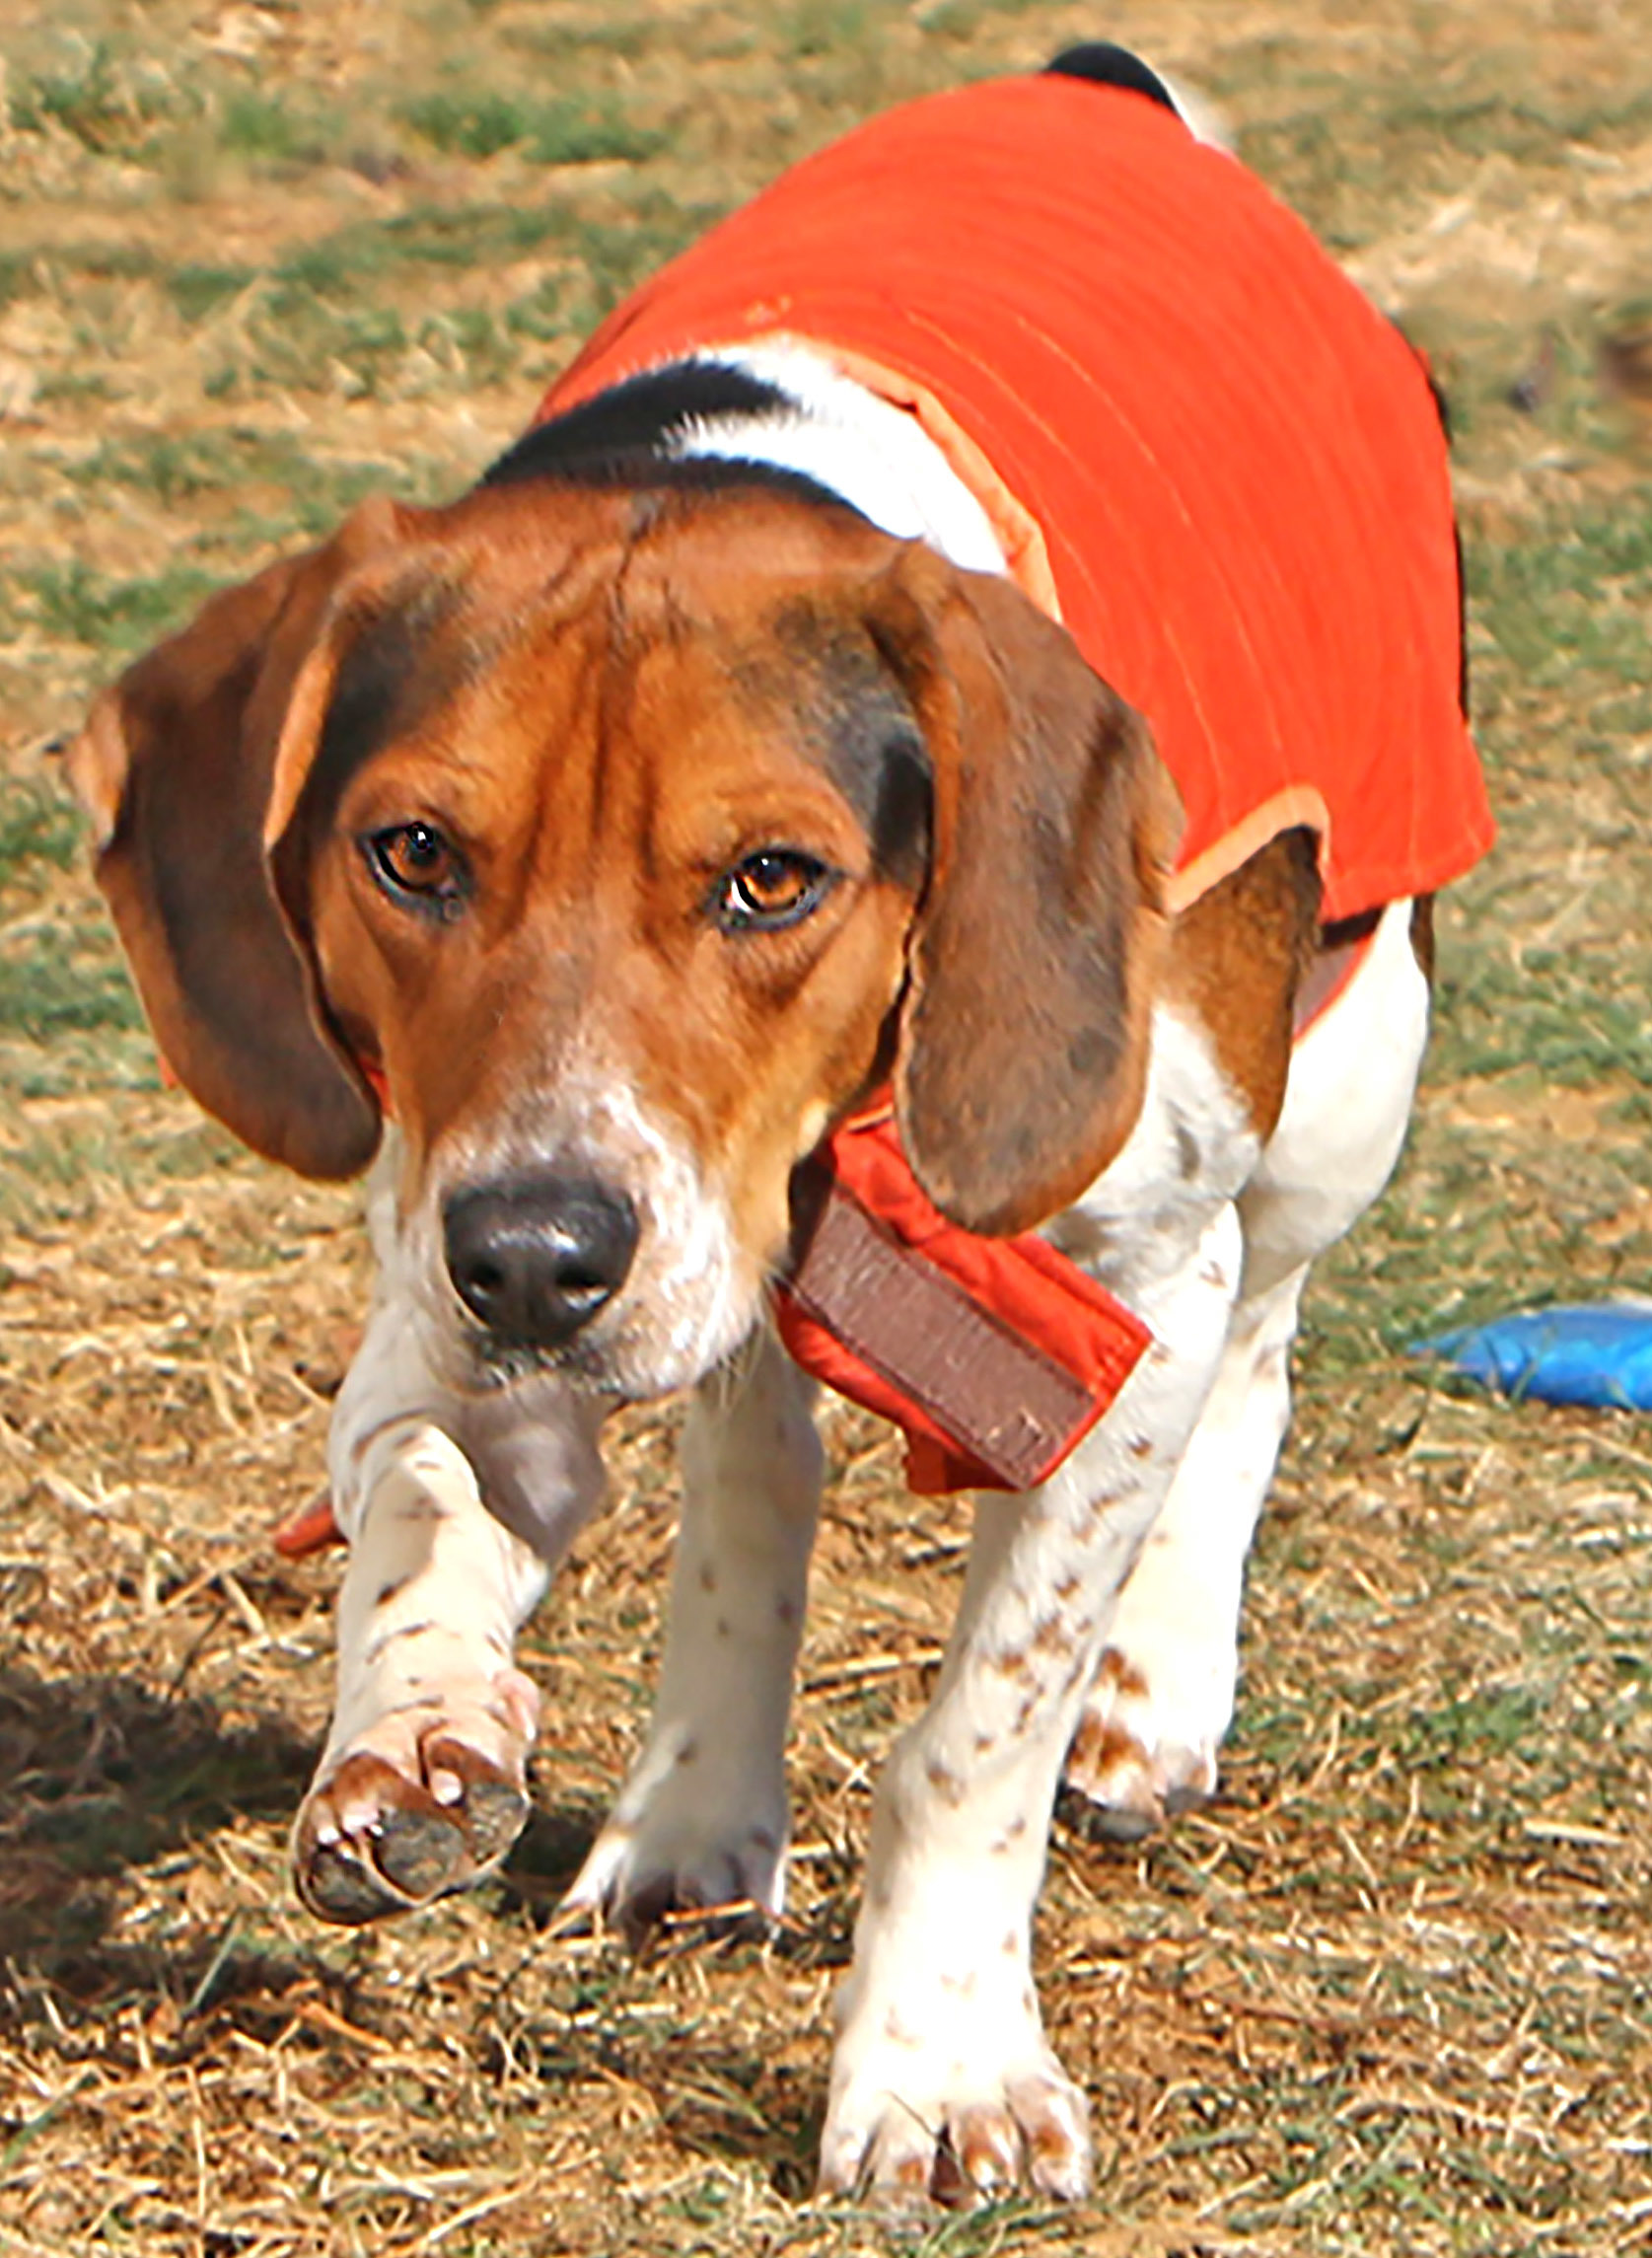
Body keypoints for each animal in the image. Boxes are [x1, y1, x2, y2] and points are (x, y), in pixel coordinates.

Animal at [64, 48, 1489, 2204]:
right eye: (413, 852)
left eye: (770, 879)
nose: (540, 1261)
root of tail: (1094, 82)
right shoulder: (451, 1255)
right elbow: (422, 1486)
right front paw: (419, 1722)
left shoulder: (1129, 1290)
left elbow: (977, 1733)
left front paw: (942, 2064)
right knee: (757, 1454)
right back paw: (690, 1802)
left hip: (1342, 1061)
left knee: (1265, 1341)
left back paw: (1156, 1690)